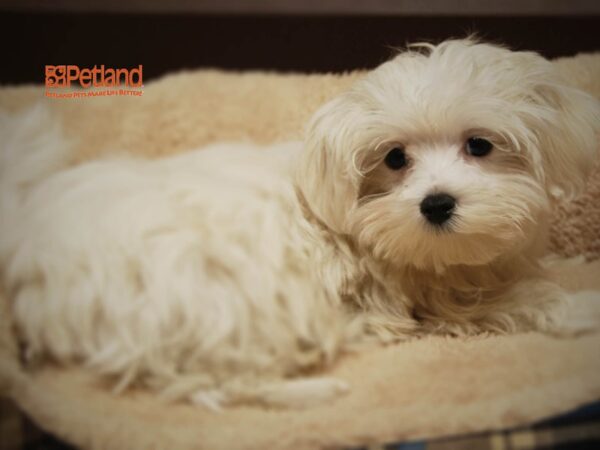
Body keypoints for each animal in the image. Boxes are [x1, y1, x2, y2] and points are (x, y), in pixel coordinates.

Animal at [0, 40, 596, 410]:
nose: (436, 204)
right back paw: (309, 390)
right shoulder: (423, 298)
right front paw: (577, 307)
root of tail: (29, 234)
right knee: (204, 381)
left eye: (479, 145)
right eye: (394, 158)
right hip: (202, 302)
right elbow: (507, 301)